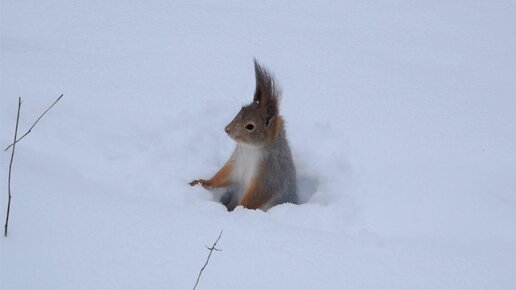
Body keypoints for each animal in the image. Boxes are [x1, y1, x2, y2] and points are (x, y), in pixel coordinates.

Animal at [189, 59, 296, 211]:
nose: (227, 129)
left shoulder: (270, 172)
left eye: (250, 126)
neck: (249, 149)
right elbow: (222, 176)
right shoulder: (236, 163)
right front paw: (202, 182)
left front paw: (239, 210)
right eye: (240, 111)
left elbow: (258, 194)